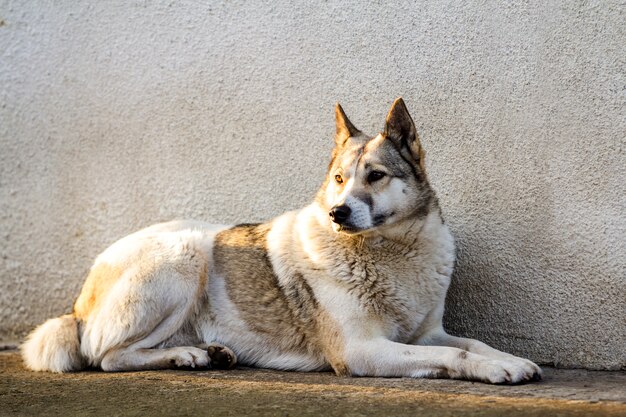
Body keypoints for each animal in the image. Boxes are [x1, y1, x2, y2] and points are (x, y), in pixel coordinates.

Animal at [22, 97, 540, 384]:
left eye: (375, 176)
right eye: (338, 179)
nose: (337, 212)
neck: (390, 252)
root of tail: (78, 302)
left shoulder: (427, 333)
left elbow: (472, 343)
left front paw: (512, 360)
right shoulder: (362, 350)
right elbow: (455, 354)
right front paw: (497, 371)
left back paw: (209, 352)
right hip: (184, 254)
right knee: (106, 357)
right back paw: (187, 355)